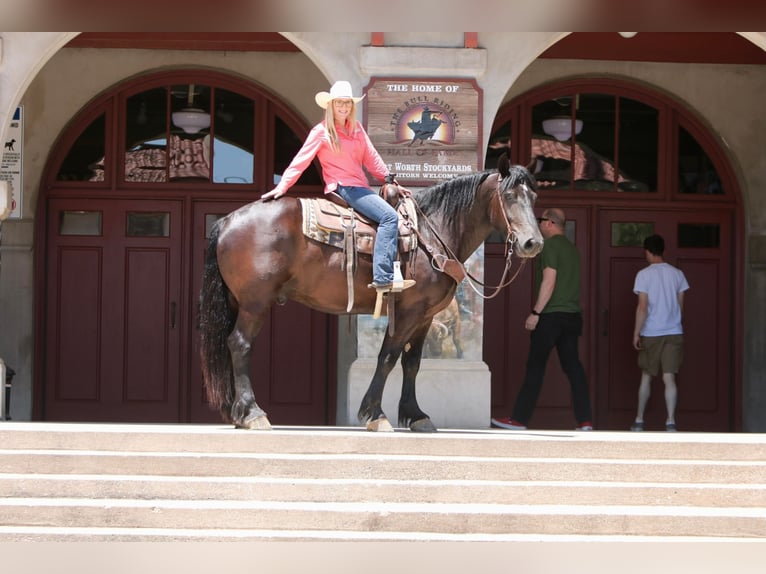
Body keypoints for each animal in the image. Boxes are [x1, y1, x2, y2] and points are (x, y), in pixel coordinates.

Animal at [198, 160, 544, 434]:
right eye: (509, 195)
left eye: (534, 196)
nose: (533, 243)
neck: (431, 234)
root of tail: (227, 221)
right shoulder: (408, 312)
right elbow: (388, 358)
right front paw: (375, 414)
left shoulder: (426, 316)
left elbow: (412, 363)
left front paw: (416, 415)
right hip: (254, 303)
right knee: (240, 345)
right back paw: (253, 413)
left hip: (238, 302)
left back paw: (239, 413)